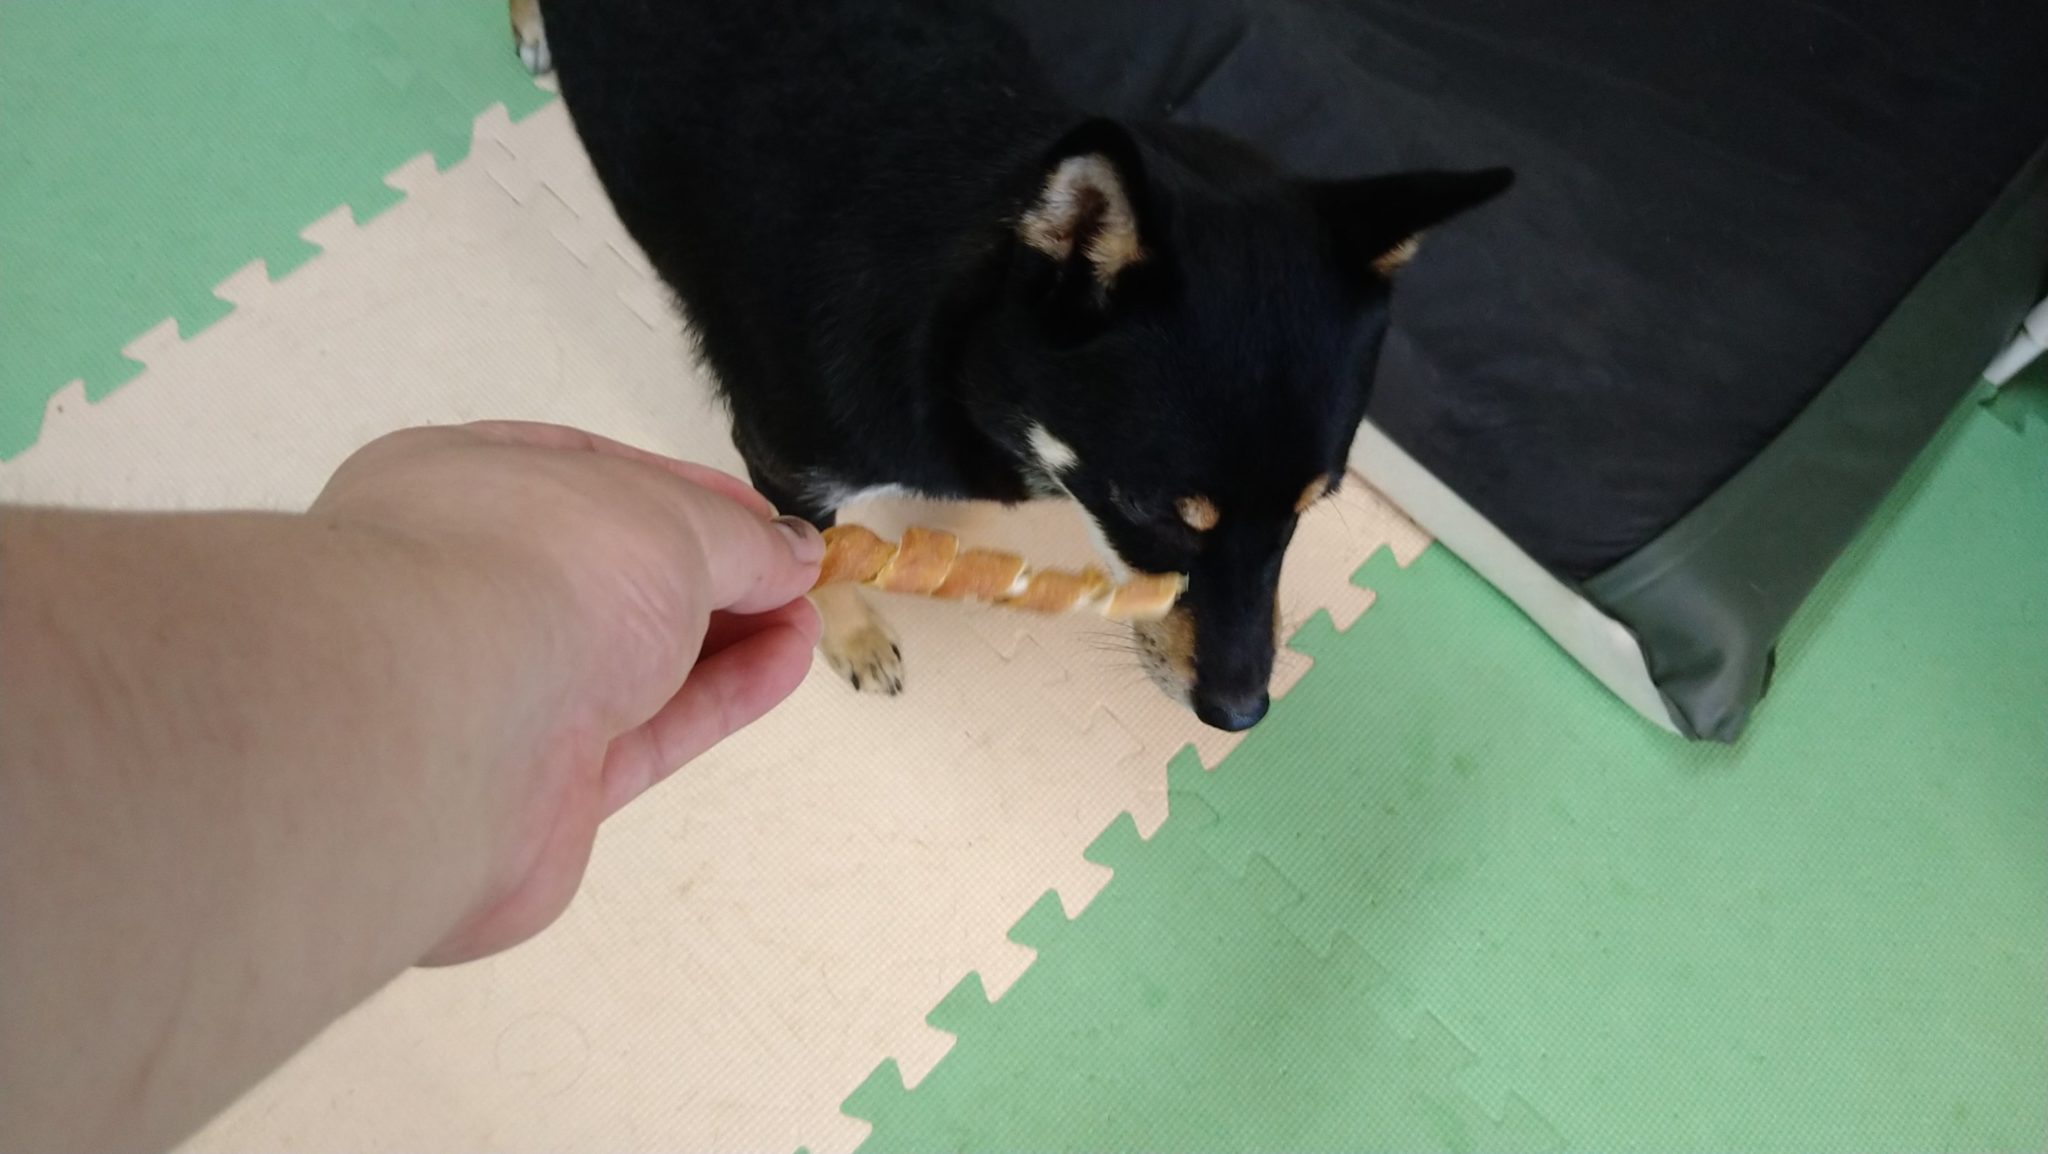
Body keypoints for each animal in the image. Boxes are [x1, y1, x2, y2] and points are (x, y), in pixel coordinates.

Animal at [513, 0, 1509, 731]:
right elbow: (824, 563)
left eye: (1314, 507)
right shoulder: (784, 462)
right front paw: (855, 637)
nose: (1240, 714)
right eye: (1151, 510)